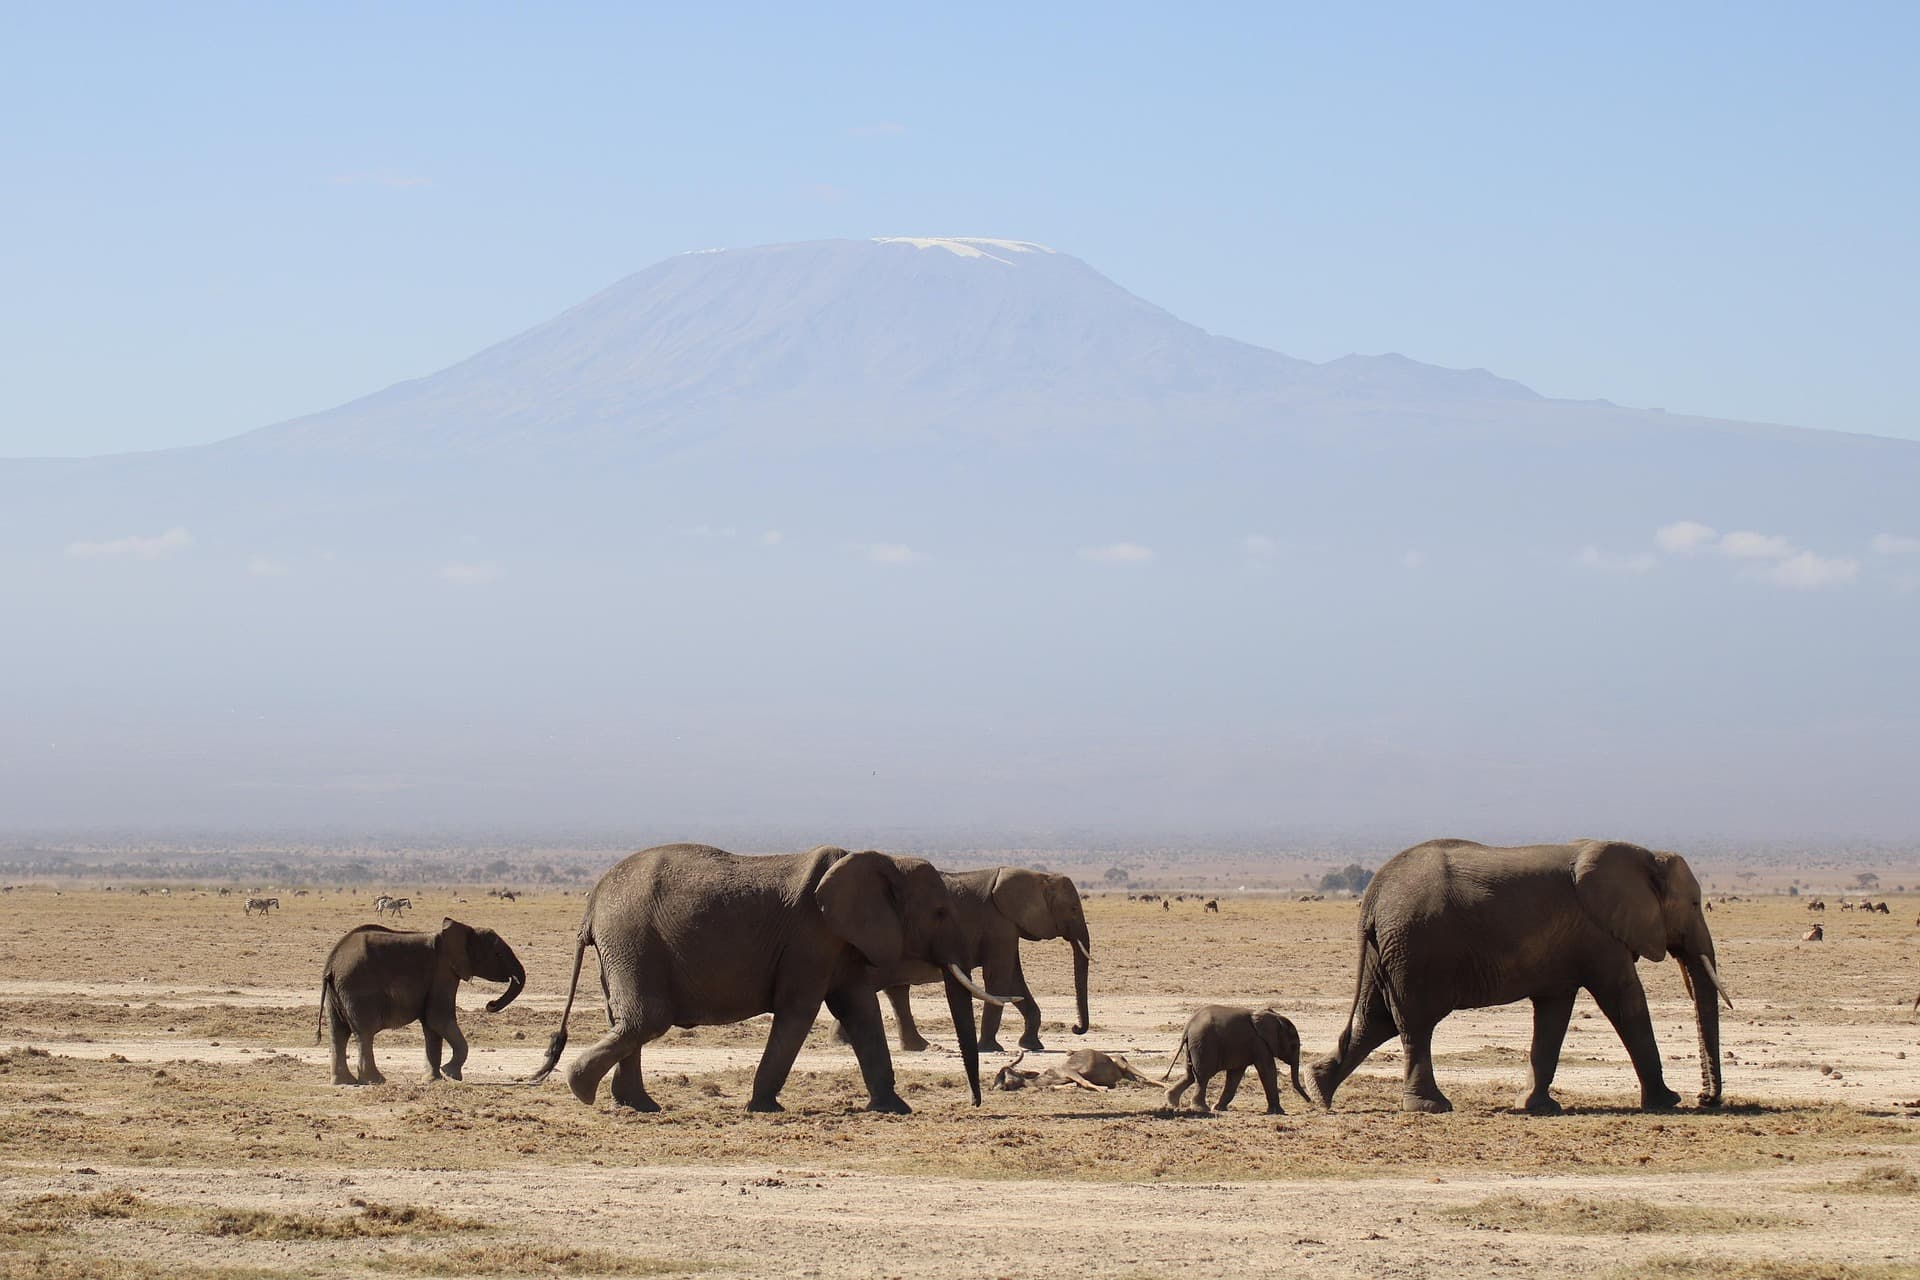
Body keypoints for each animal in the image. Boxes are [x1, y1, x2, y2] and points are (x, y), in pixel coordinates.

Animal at [317, 918, 525, 1085]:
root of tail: (331, 965)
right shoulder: (443, 972)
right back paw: (375, 1081)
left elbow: (431, 1027)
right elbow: (438, 1019)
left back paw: (344, 1082)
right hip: (358, 988)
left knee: (338, 1033)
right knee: (364, 1033)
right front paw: (450, 1073)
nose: (490, 1004)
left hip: (336, 993)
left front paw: (433, 1079)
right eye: (497, 954)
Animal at [526, 844, 1012, 1114]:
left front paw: (895, 1110)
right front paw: (763, 1109)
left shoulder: (839, 942)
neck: (884, 860)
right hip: (632, 941)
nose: (974, 1103)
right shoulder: (811, 937)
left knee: (629, 1021)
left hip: (623, 948)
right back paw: (583, 1090)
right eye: (940, 912)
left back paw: (639, 1106)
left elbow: (860, 1011)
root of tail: (592, 902)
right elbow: (800, 1011)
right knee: (647, 1019)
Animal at [847, 867, 1092, 1054]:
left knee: (896, 991)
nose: (1075, 1028)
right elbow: (999, 978)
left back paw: (916, 1047)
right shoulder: (998, 925)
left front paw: (1031, 1045)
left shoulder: (1007, 927)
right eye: (1073, 909)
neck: (1039, 876)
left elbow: (1014, 980)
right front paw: (990, 1048)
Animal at [1162, 1005, 1310, 1114]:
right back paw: (1201, 1109)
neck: (1275, 1017)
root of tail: (1188, 1026)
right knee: (1202, 1076)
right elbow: (1267, 1070)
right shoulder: (1260, 1043)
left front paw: (1218, 1108)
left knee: (1190, 1075)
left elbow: (1235, 1075)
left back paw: (1172, 1102)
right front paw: (1279, 1112)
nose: (1310, 1102)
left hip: (1193, 1046)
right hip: (1204, 1044)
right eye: (1294, 1045)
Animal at [1308, 838, 1731, 1116]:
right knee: (1415, 1024)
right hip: (1415, 949)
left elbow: (1553, 1013)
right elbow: (1625, 1001)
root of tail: (1372, 896)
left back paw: (1318, 1090)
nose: (1706, 1099)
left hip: (1389, 951)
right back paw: (1431, 1107)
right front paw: (1668, 1102)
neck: (1644, 855)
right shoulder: (1599, 935)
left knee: (1375, 1021)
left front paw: (1536, 1106)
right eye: (1695, 904)